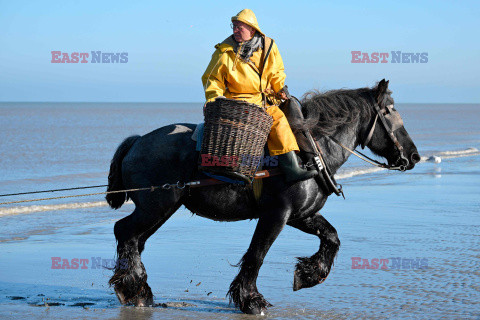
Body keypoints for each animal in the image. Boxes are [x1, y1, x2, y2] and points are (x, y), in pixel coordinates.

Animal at [106, 80, 420, 316]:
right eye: (390, 111)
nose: (414, 155)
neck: (310, 150)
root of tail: (138, 141)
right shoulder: (277, 215)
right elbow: (257, 254)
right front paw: (250, 299)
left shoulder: (301, 215)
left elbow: (331, 237)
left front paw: (309, 274)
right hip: (157, 206)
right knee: (125, 232)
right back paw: (133, 287)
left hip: (162, 210)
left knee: (134, 240)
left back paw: (136, 288)